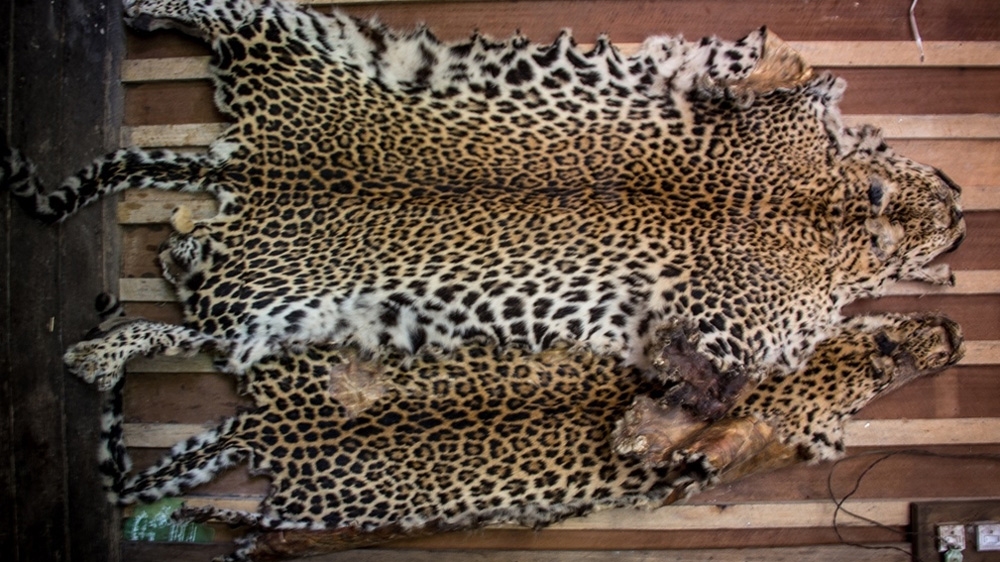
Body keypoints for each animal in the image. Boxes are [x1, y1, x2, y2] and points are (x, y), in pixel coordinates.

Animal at [2, 0, 964, 418]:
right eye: (947, 205)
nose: (963, 207)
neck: (828, 212)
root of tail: (246, 164)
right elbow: (781, 68)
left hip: (265, 312)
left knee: (176, 317)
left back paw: (105, 340)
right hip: (292, 33)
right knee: (214, 3)